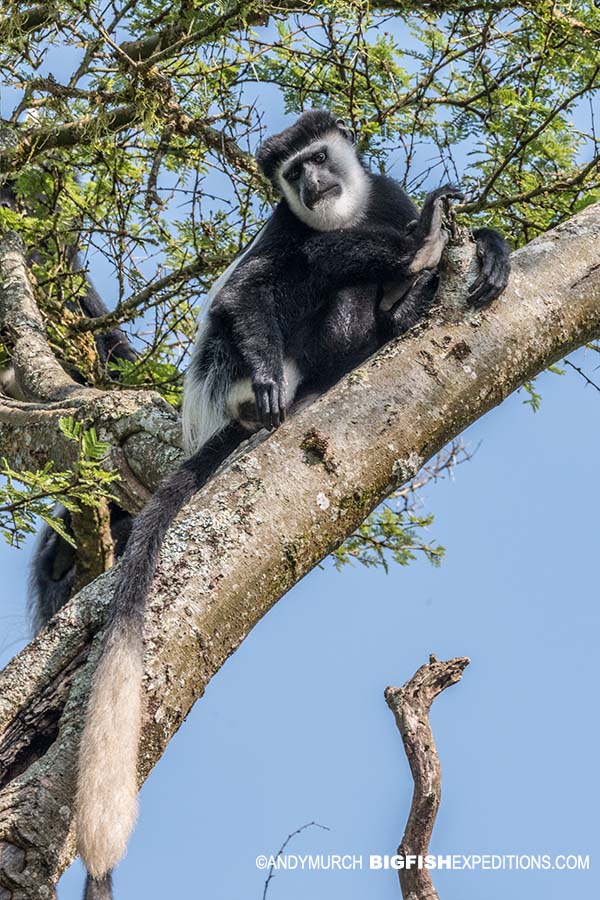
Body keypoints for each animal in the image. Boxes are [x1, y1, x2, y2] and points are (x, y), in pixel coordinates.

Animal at [76, 112, 510, 900]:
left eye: (316, 158)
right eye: (291, 173)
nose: (310, 182)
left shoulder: (387, 194)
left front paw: (486, 249)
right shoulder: (281, 229)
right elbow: (248, 290)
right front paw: (421, 246)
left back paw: (407, 290)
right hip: (246, 369)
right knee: (297, 276)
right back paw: (404, 270)